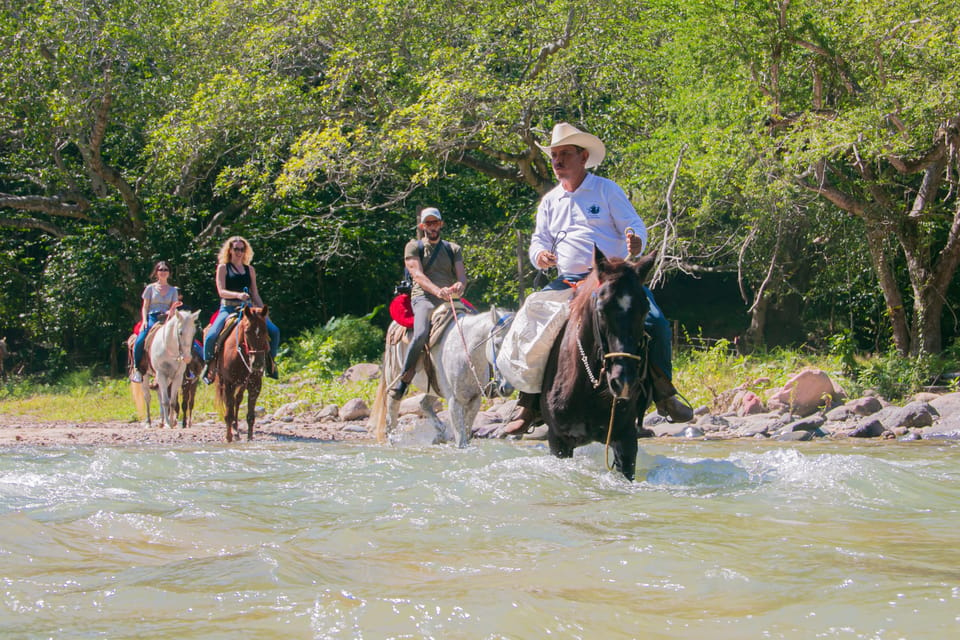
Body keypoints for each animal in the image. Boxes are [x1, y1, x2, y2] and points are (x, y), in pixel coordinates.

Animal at [212, 304, 268, 440]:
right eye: (247, 331)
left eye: (265, 331)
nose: (257, 363)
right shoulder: (228, 383)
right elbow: (228, 413)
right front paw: (228, 438)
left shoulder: (255, 385)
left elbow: (250, 416)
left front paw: (249, 438)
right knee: (231, 404)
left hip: (242, 384)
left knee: (237, 400)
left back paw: (236, 429)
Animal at [372, 306, 512, 448]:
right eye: (497, 344)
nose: (507, 387)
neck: (465, 352)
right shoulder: (454, 401)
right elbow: (461, 440)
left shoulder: (474, 400)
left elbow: (466, 434)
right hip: (394, 381)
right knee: (391, 419)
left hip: (434, 389)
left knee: (423, 404)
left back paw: (440, 434)